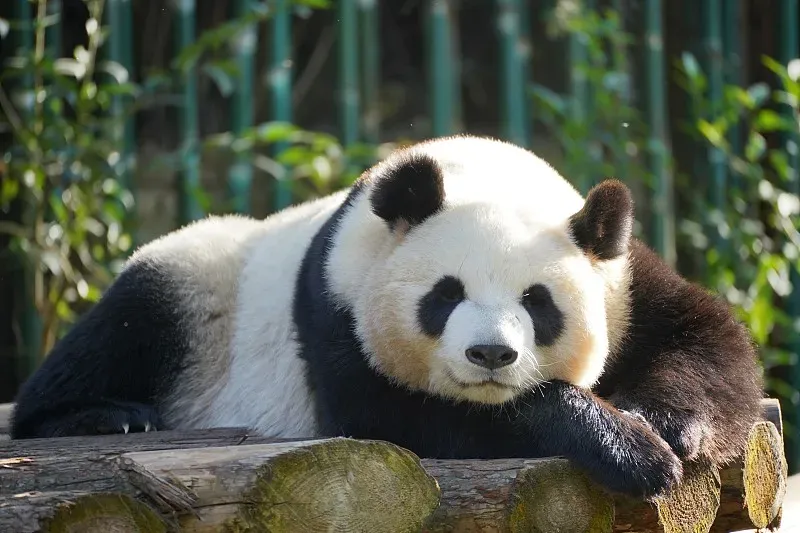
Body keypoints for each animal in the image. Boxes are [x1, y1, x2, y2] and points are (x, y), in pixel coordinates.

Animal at [10, 135, 763, 500]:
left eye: (537, 302)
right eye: (445, 295)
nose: (491, 356)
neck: (476, 169)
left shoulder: (620, 278)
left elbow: (706, 338)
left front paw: (660, 421)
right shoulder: (334, 306)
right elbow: (404, 418)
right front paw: (626, 448)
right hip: (203, 280)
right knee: (125, 326)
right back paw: (103, 415)